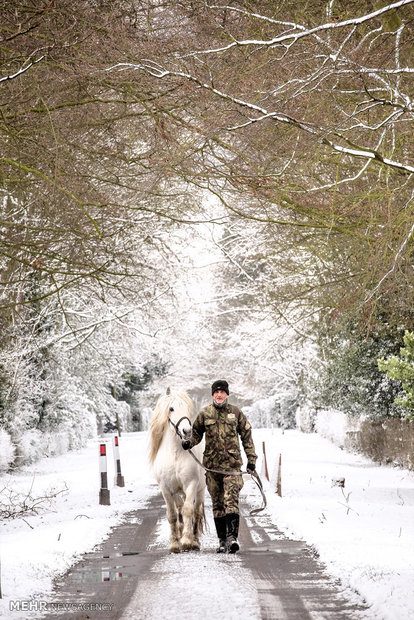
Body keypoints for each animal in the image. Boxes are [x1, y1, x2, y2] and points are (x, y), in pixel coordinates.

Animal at [150, 390, 206, 556]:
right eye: (171, 408)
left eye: (187, 408)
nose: (187, 431)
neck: (175, 453)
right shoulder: (166, 489)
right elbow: (173, 515)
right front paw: (175, 544)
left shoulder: (191, 485)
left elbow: (188, 511)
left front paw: (187, 541)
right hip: (177, 493)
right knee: (179, 510)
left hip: (200, 491)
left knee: (196, 511)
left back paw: (195, 541)